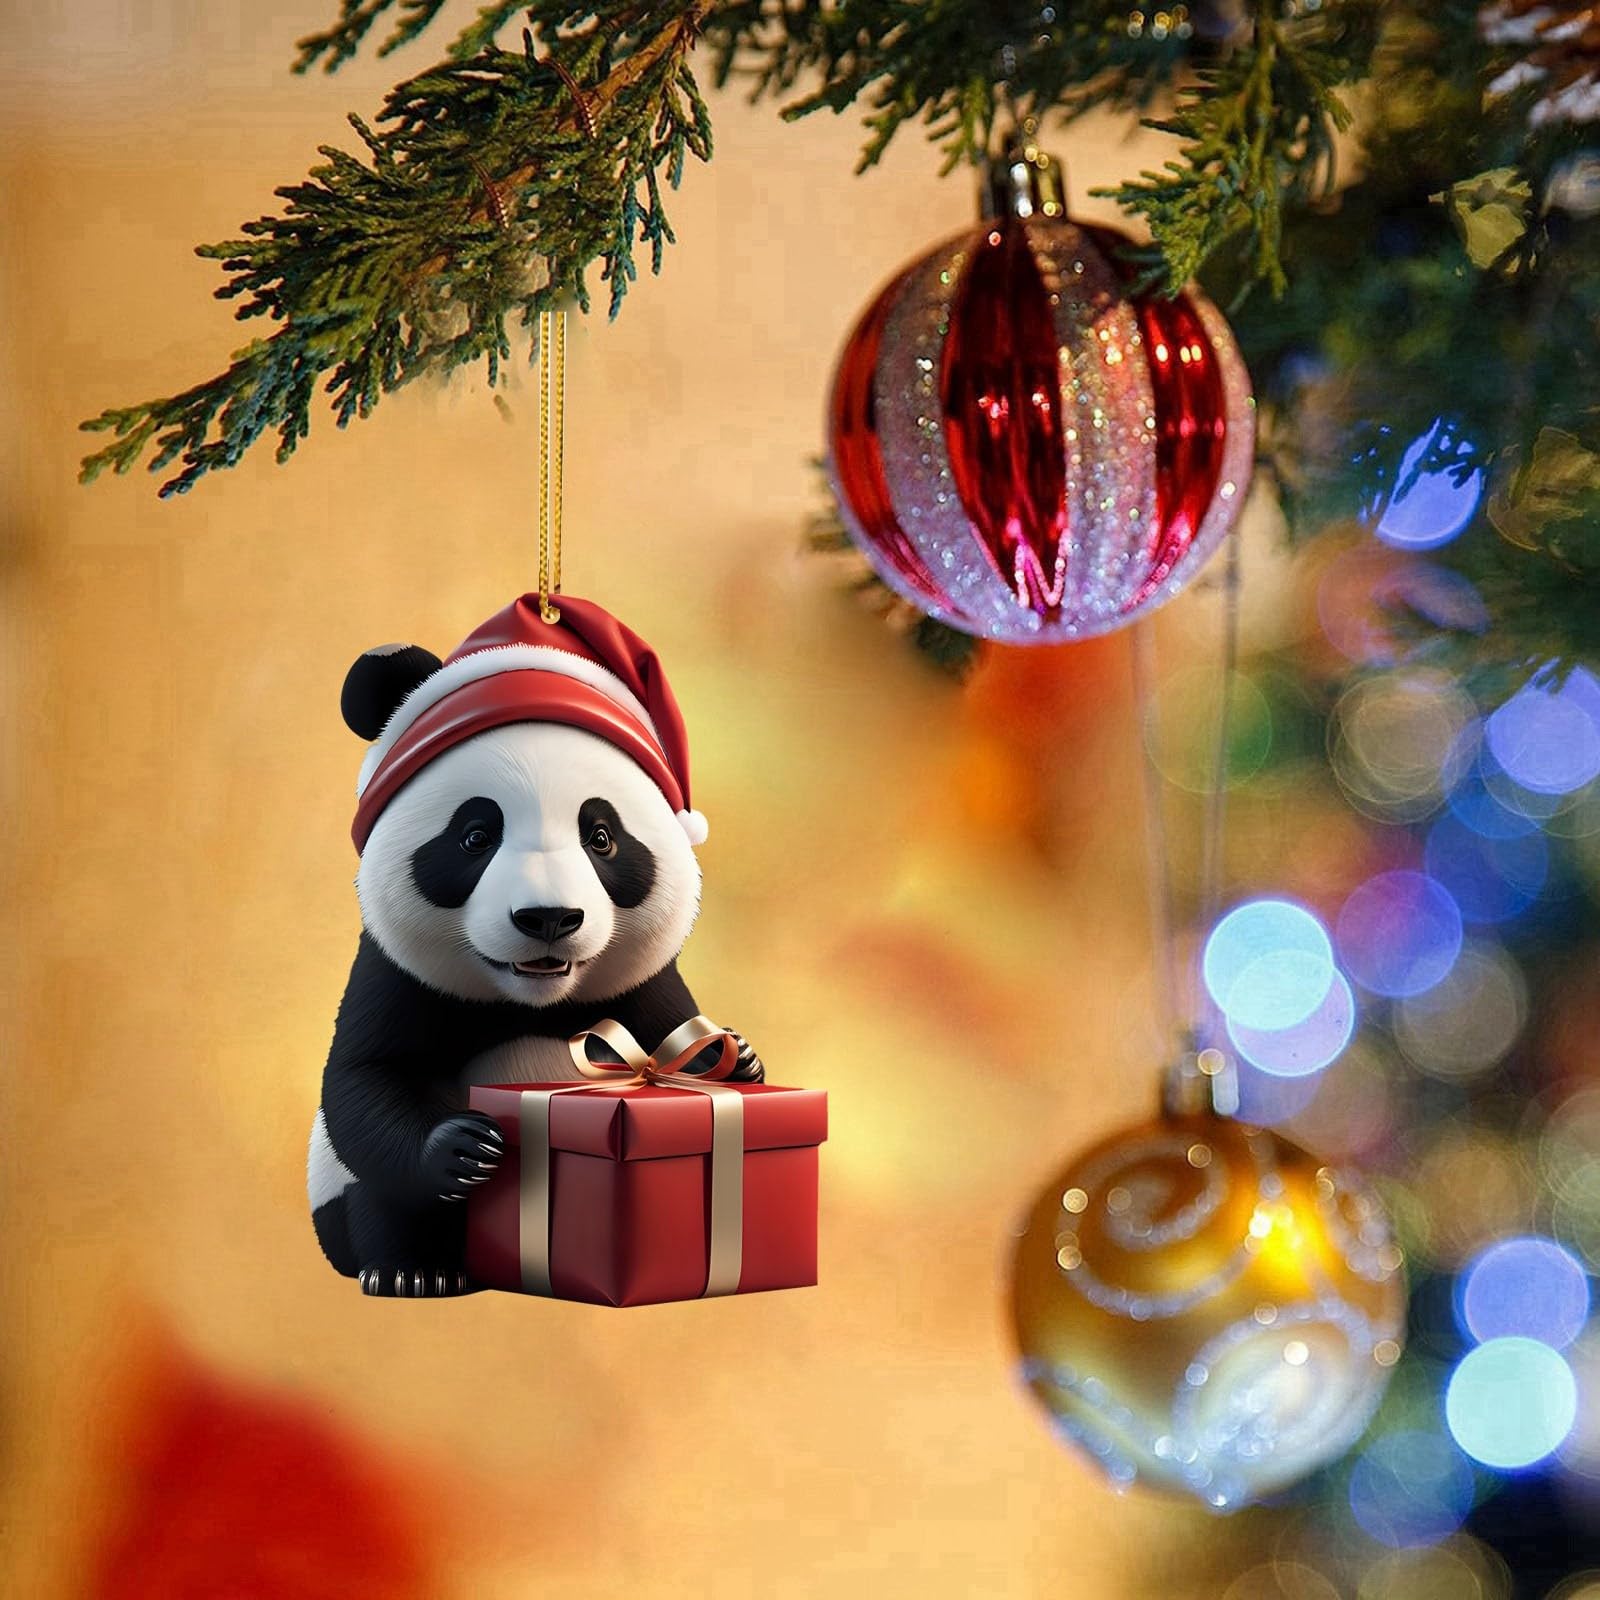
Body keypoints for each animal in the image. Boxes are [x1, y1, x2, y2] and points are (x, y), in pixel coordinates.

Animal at [308, 597, 762, 1297]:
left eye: (601, 836)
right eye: (474, 836)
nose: (548, 917)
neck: (532, 1003)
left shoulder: (645, 980)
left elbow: (673, 1024)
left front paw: (732, 1058)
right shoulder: (396, 975)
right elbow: (365, 1082)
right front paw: (463, 1150)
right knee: (382, 1197)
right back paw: (414, 1271)